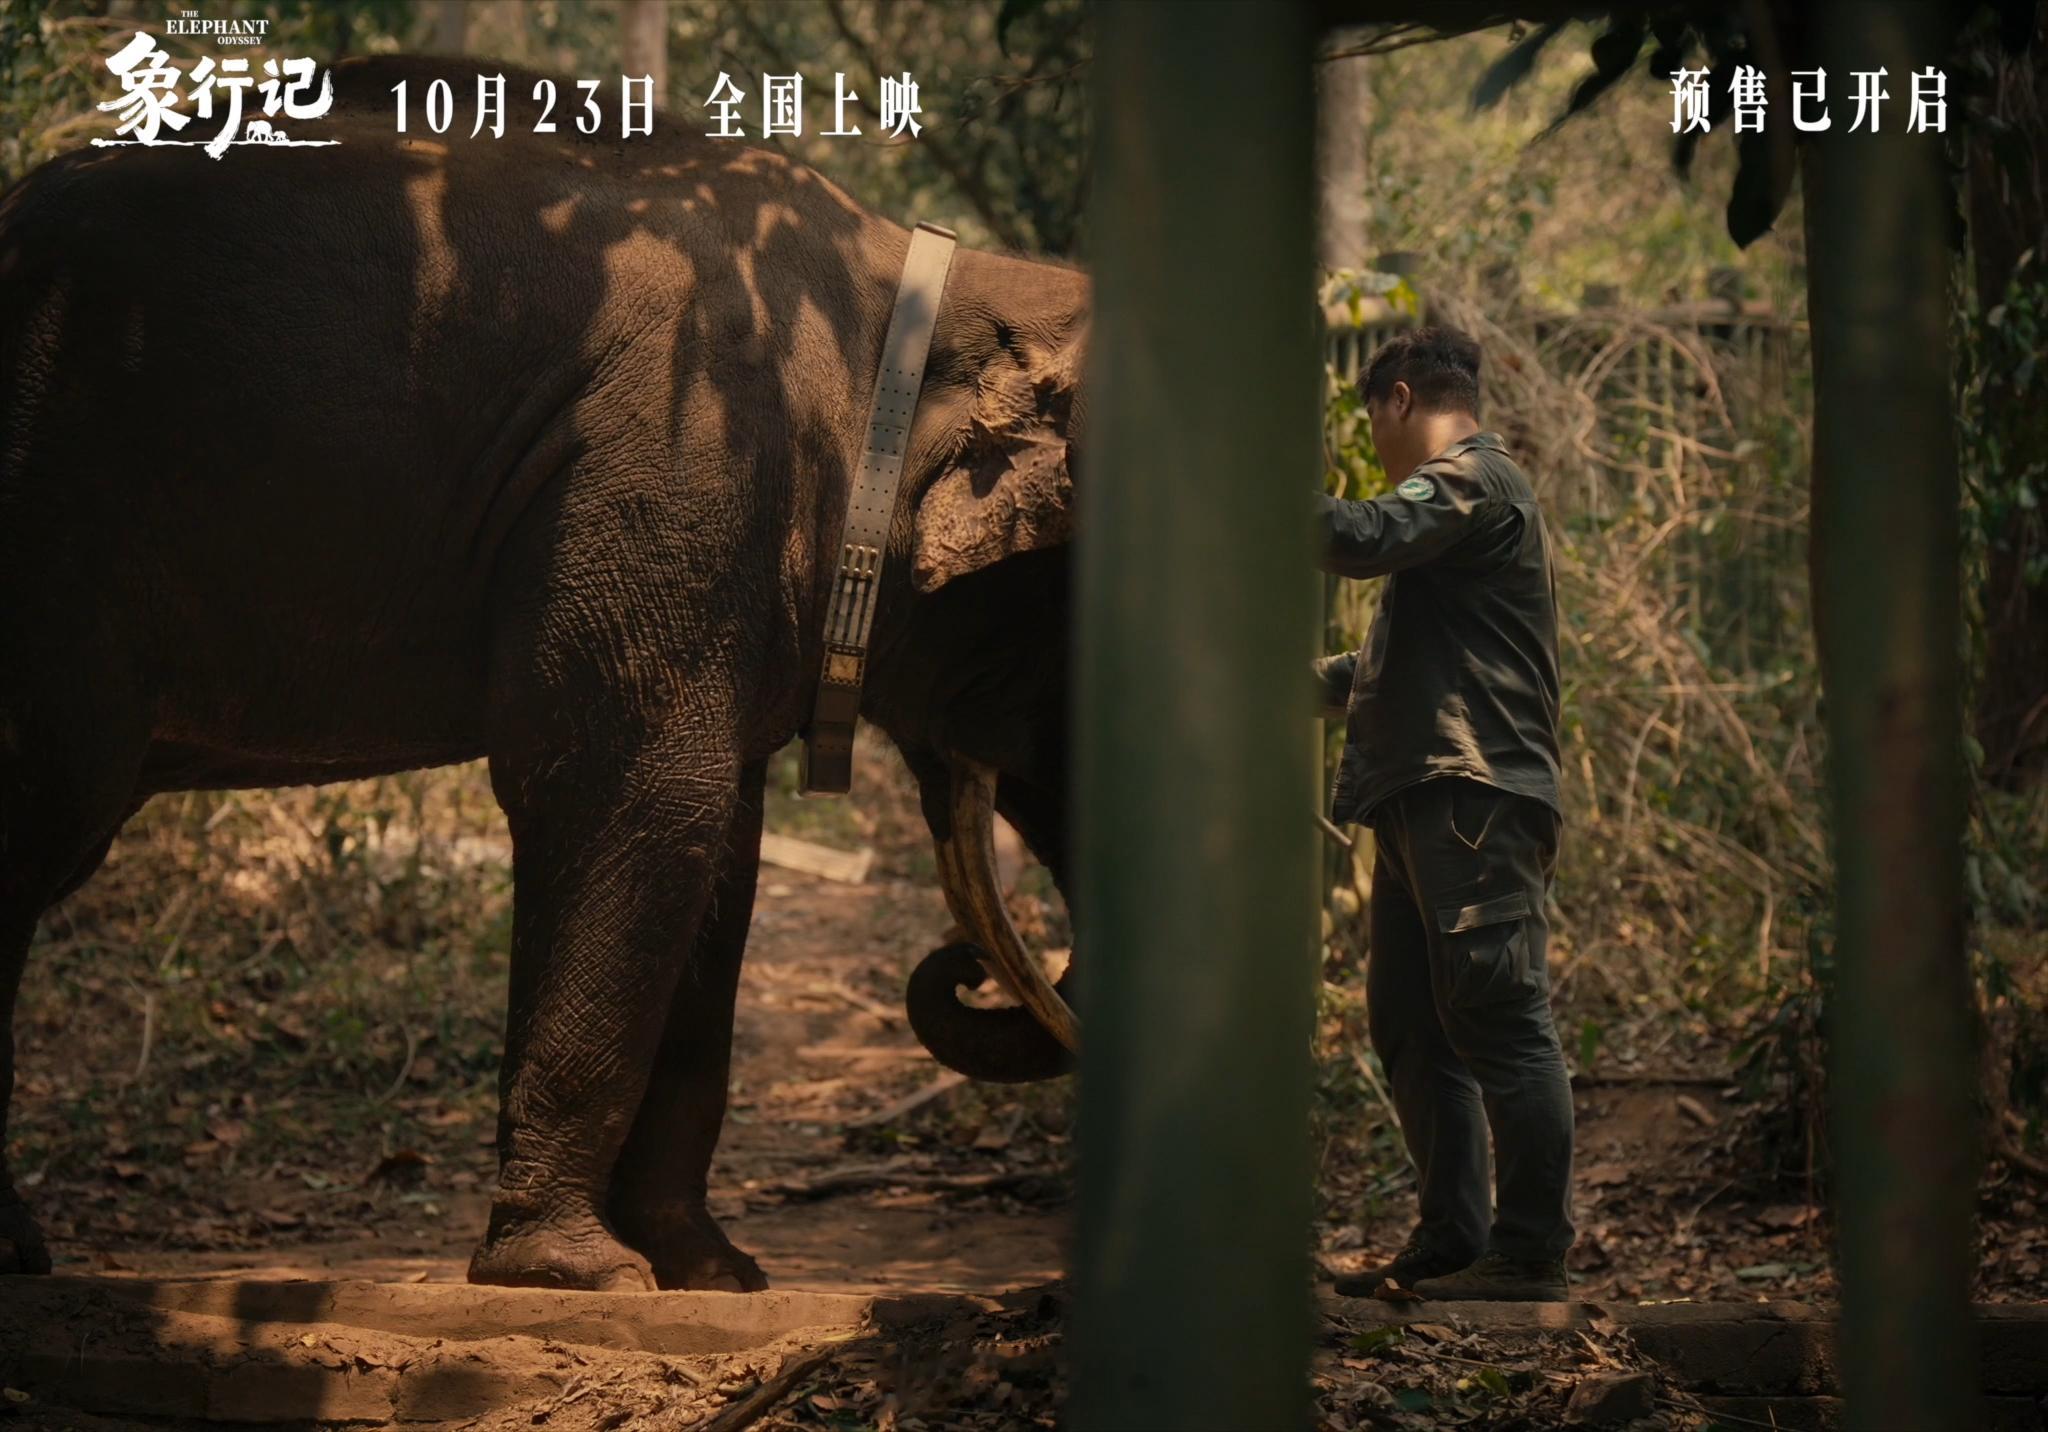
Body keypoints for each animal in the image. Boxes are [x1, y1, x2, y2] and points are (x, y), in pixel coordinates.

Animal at [0, 54, 1082, 1292]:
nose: (957, 966)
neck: (917, 291)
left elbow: (717, 844)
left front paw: (710, 1273)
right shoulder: (681, 464)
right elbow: (636, 797)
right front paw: (579, 1273)